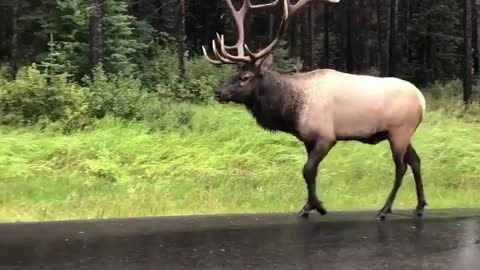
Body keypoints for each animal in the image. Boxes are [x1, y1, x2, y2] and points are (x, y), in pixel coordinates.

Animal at [201, 0, 426, 219]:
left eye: (245, 77)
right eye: (235, 74)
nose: (219, 93)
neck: (291, 110)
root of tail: (422, 101)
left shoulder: (326, 136)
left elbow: (307, 170)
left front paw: (318, 206)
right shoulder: (308, 139)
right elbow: (312, 172)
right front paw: (309, 206)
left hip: (399, 131)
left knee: (401, 167)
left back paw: (384, 210)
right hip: (402, 134)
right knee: (416, 161)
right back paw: (420, 206)